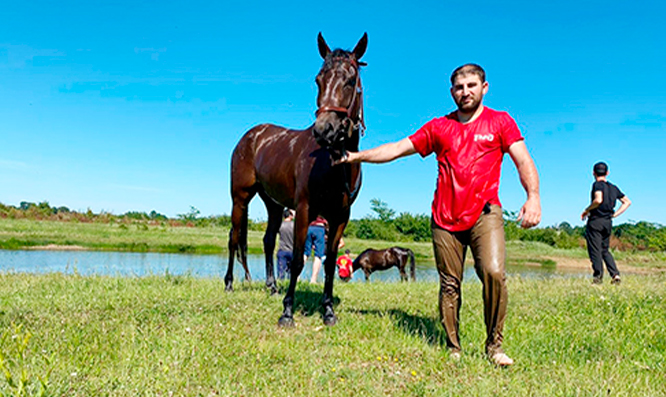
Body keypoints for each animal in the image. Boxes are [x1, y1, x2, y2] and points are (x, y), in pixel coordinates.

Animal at [226, 32, 366, 326]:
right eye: (318, 79)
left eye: (350, 80)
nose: (324, 130)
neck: (333, 163)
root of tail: (250, 136)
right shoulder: (304, 210)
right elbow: (299, 262)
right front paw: (287, 311)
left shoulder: (340, 216)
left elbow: (329, 262)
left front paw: (328, 311)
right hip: (240, 198)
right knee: (234, 238)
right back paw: (230, 283)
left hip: (273, 204)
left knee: (268, 240)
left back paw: (271, 286)